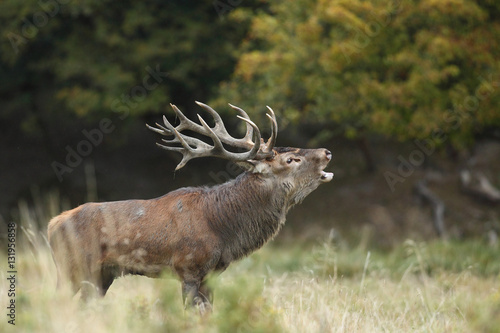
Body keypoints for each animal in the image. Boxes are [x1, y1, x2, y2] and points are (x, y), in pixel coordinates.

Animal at [47, 101, 332, 308]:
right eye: (291, 159)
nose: (327, 152)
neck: (222, 227)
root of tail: (52, 224)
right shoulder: (189, 267)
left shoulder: (212, 273)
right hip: (72, 267)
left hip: (101, 275)